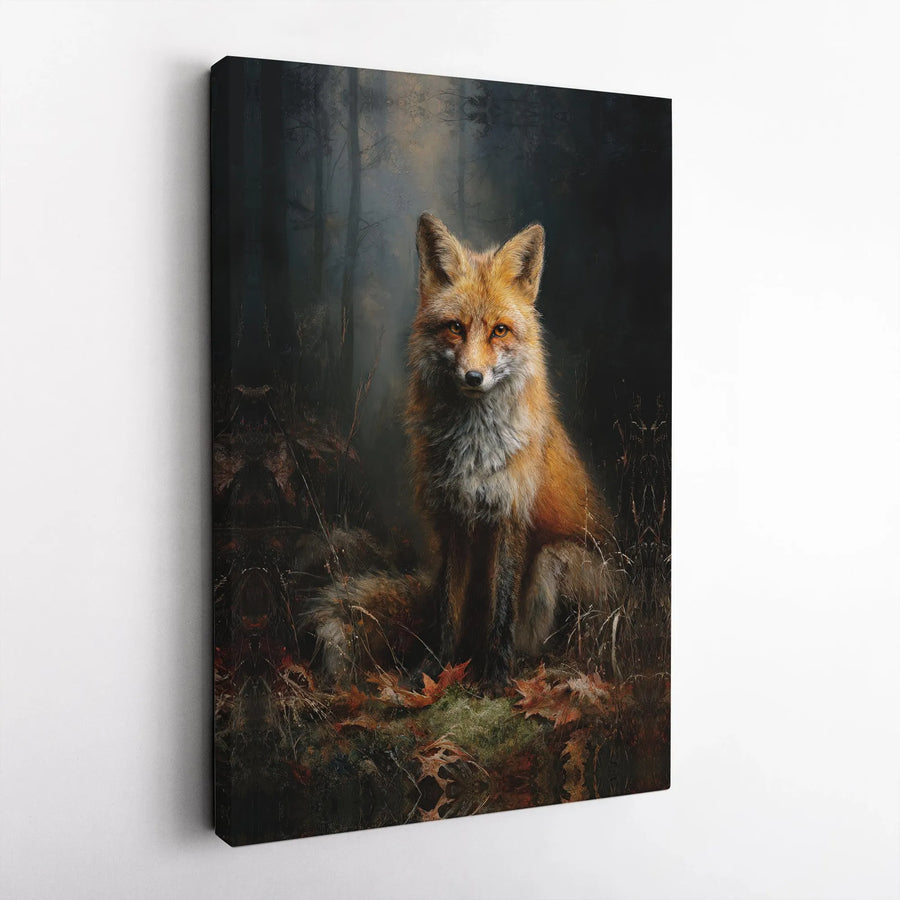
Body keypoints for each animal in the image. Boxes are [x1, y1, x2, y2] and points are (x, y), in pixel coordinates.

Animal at [303, 214, 617, 689]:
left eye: (499, 330)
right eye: (455, 327)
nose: (473, 377)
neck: (475, 450)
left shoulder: (509, 518)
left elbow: (502, 614)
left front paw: (497, 678)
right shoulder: (451, 519)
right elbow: (446, 610)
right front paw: (432, 670)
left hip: (558, 559)